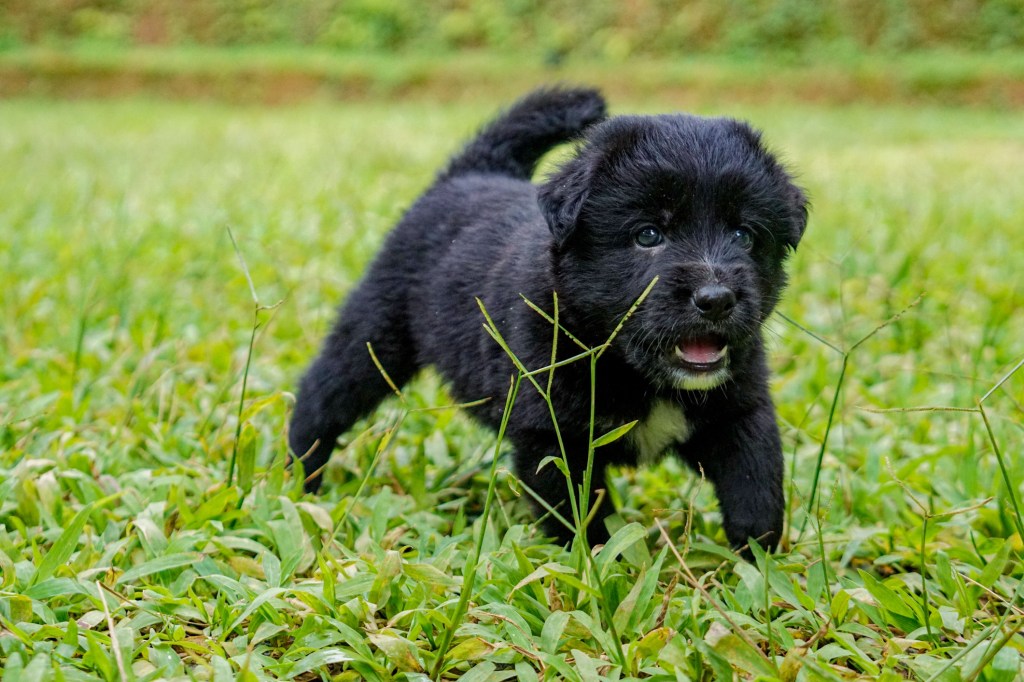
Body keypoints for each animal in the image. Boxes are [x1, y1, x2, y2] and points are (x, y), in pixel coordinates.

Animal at [290, 86, 806, 552]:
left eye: (744, 235)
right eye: (648, 235)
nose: (716, 299)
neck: (627, 365)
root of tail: (470, 173)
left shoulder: (739, 410)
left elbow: (755, 486)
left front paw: (754, 561)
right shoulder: (553, 436)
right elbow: (578, 516)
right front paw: (597, 566)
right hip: (377, 333)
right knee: (325, 392)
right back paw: (301, 475)